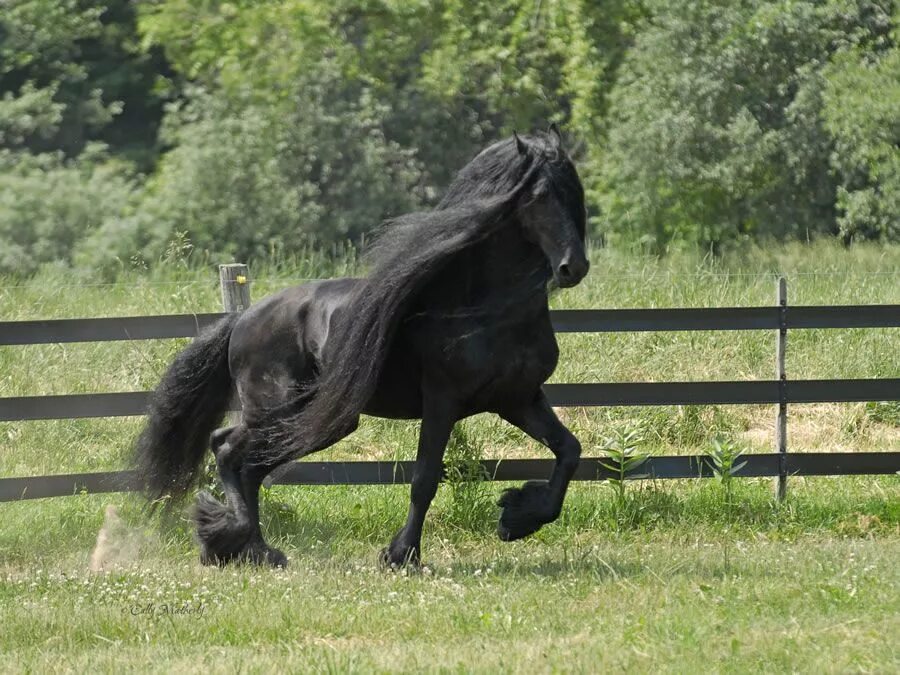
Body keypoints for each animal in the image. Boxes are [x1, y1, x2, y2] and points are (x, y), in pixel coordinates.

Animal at [135, 125, 592, 564]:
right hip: (283, 411)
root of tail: (243, 320)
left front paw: (518, 517)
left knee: (244, 461)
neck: (483, 310)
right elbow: (425, 478)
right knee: (230, 452)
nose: (574, 267)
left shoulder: (517, 398)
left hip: (311, 419)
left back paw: (254, 550)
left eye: (575, 192)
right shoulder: (443, 401)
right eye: (539, 196)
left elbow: (569, 450)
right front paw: (402, 555)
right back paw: (233, 540)